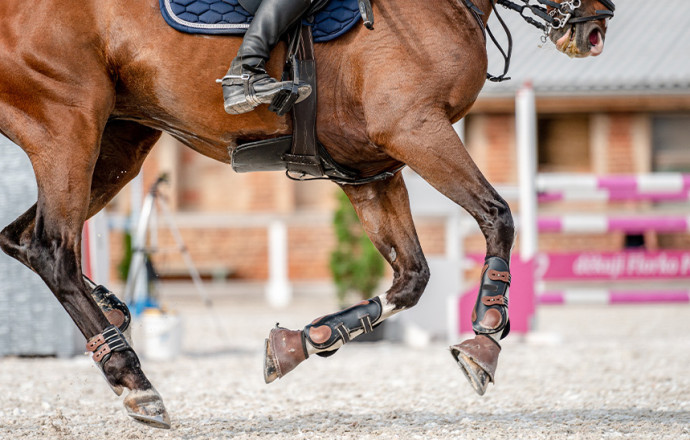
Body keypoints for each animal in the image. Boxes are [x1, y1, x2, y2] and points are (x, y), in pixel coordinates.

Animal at [0, 0, 614, 429]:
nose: (595, 26)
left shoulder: (374, 172)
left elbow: (411, 277)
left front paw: (300, 342)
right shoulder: (417, 129)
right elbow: (497, 215)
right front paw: (485, 337)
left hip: (120, 140)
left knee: (21, 238)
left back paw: (112, 313)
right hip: (67, 123)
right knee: (52, 247)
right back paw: (135, 382)